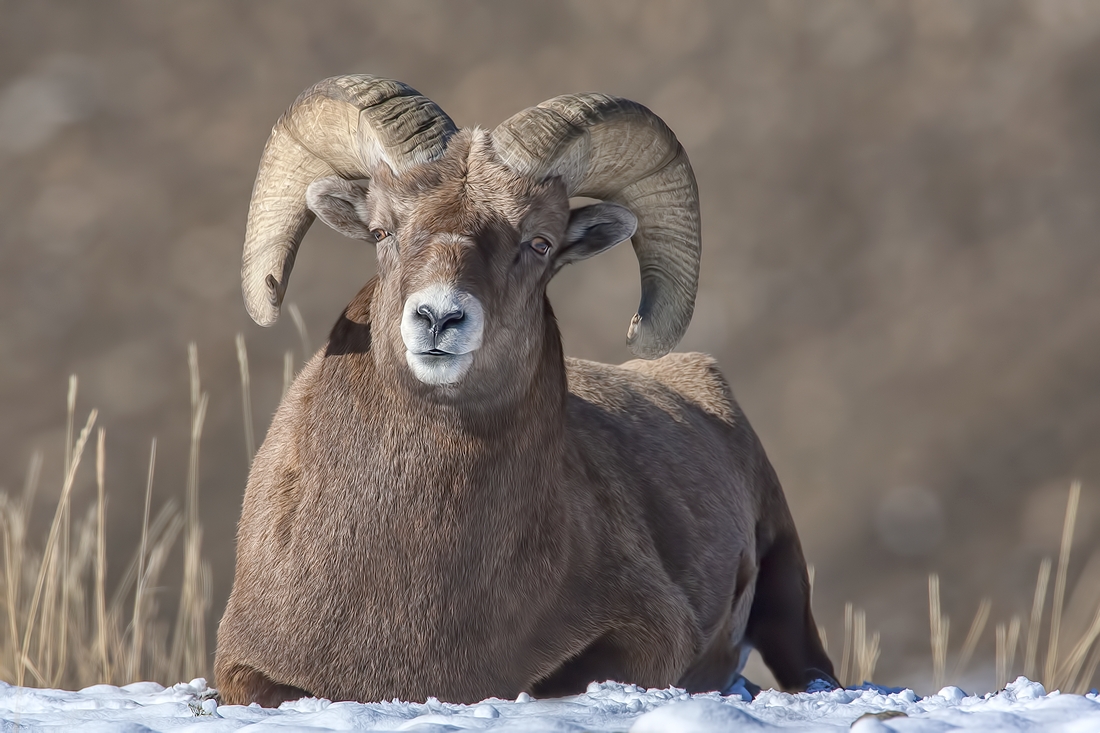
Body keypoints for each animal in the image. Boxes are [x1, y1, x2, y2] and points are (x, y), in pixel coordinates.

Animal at [214, 72, 831, 704]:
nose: (439, 318)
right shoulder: (242, 668)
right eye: (383, 232)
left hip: (788, 587)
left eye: (539, 243)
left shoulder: (651, 635)